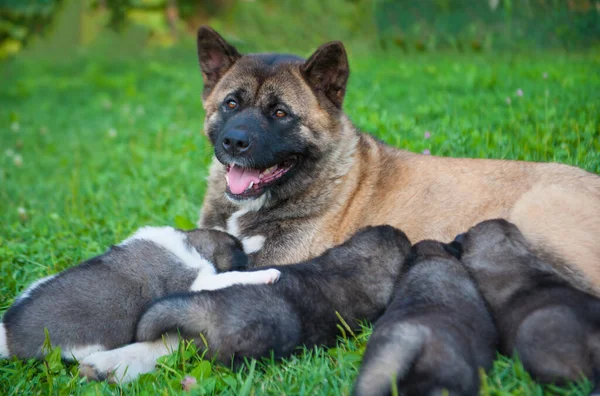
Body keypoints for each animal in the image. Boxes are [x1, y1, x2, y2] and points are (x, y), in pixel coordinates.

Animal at [0, 227, 280, 366]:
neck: (192, 243)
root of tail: (10, 334)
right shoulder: (197, 281)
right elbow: (228, 278)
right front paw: (267, 273)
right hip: (81, 345)